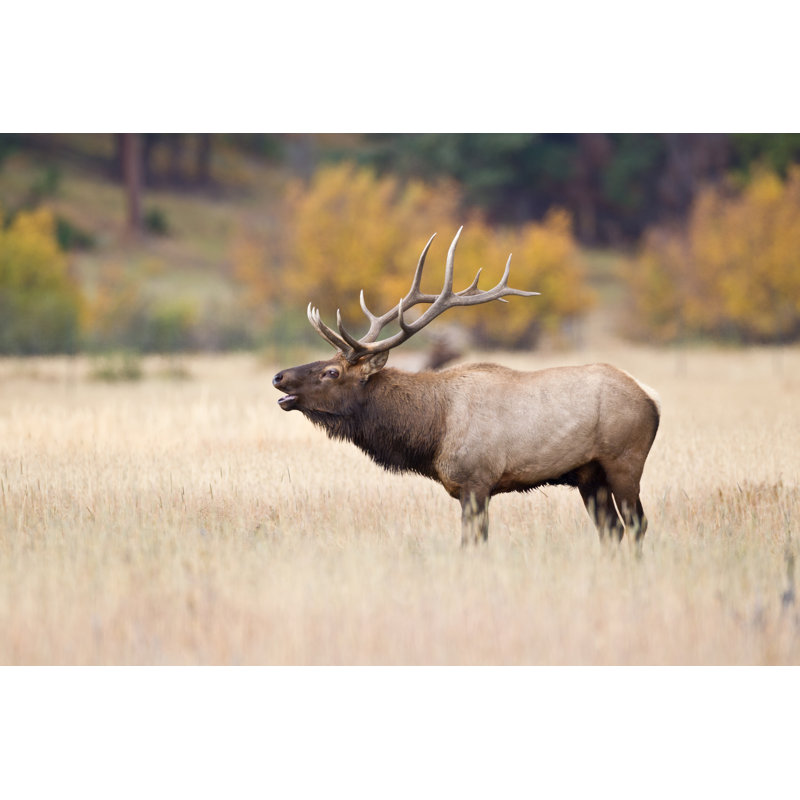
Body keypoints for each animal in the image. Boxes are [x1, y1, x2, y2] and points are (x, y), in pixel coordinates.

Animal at [273, 227, 661, 547]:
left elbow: (473, 541)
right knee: (611, 530)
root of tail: (651, 398)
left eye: (332, 372)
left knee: (637, 524)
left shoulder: (476, 479)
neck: (432, 431)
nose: (279, 377)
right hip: (589, 474)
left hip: (625, 460)